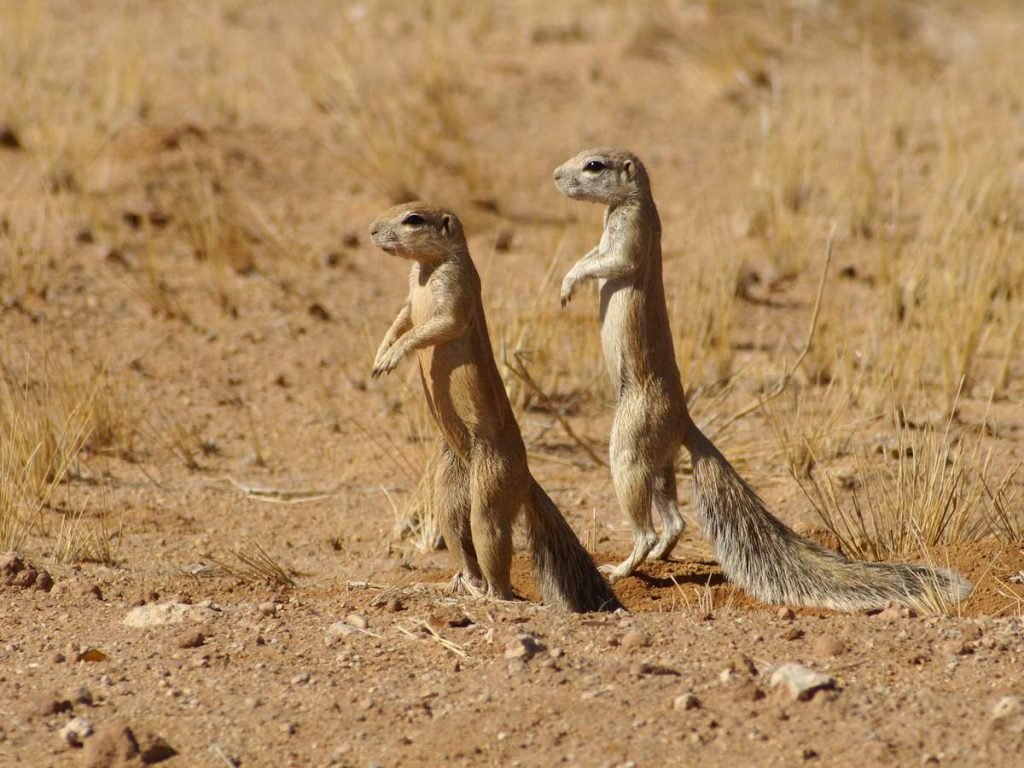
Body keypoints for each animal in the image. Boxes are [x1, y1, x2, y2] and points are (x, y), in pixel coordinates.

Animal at [370, 202, 618, 614]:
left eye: (413, 219)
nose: (372, 232)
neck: (426, 270)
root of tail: (526, 475)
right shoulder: (410, 298)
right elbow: (402, 318)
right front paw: (379, 354)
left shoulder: (454, 291)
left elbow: (433, 326)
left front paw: (392, 357)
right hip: (449, 488)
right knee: (458, 535)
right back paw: (455, 585)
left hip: (490, 491)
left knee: (494, 554)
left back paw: (492, 597)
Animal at [552, 147, 966, 610]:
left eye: (593, 165)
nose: (555, 177)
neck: (626, 204)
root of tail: (684, 420)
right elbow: (593, 253)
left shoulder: (630, 234)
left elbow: (609, 261)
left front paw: (568, 284)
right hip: (656, 459)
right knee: (674, 522)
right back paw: (660, 557)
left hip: (628, 447)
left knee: (647, 528)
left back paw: (624, 568)